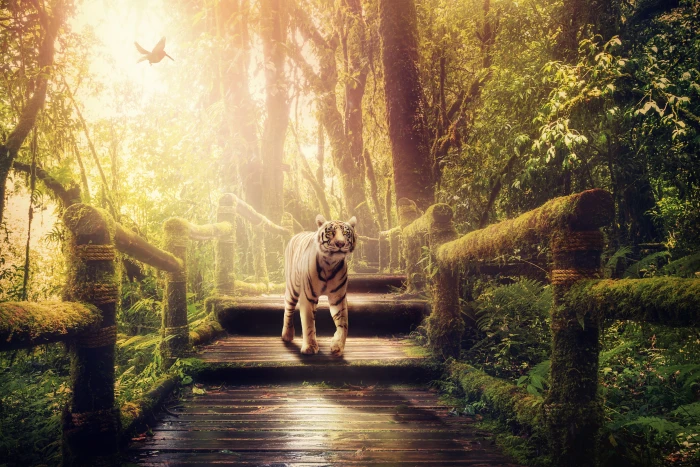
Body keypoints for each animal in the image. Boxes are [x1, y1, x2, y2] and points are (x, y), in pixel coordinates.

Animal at [281, 214, 357, 356]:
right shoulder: (308, 296)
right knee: (288, 309)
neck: (330, 264)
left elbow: (343, 323)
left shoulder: (338, 298)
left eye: (345, 233)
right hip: (292, 289)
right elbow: (309, 323)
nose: (340, 243)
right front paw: (310, 347)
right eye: (331, 232)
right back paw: (287, 335)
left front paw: (337, 347)